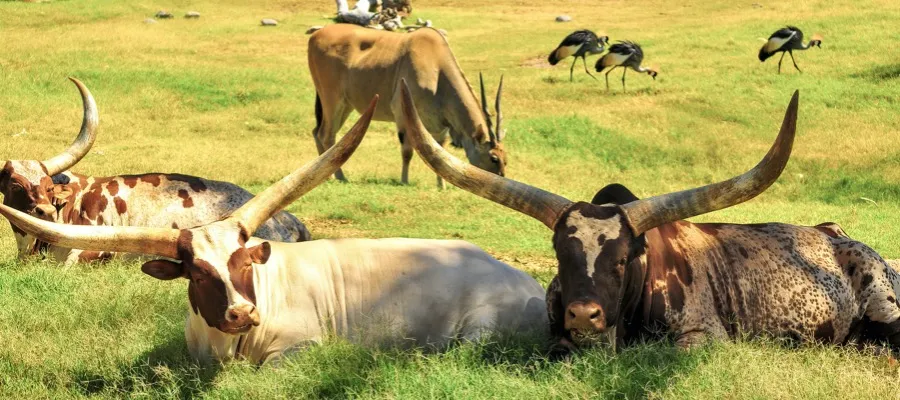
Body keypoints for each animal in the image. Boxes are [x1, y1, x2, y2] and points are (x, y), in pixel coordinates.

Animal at [308, 23, 507, 188]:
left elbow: (440, 153)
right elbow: (407, 151)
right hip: (332, 100)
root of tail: (316, 35)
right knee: (326, 135)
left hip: (345, 105)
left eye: (505, 158)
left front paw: (441, 186)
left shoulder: (439, 126)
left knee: (318, 133)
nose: (500, 179)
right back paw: (339, 177)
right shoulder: (403, 114)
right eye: (493, 158)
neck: (436, 66)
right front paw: (404, 181)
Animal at [398, 83, 900, 352]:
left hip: (884, 306)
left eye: (623, 260)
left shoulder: (703, 336)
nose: (585, 314)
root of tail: (837, 234)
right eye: (560, 255)